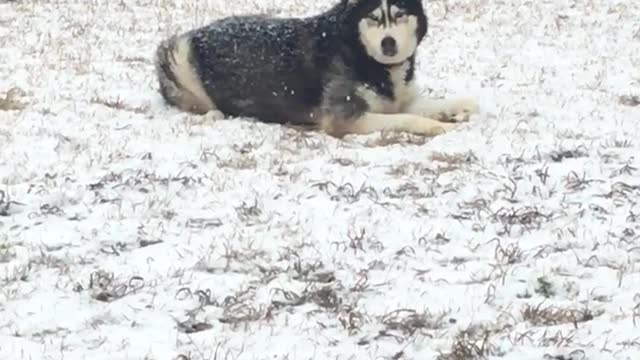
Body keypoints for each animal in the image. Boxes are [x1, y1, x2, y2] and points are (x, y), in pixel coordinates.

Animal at [155, 0, 478, 138]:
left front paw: (461, 107)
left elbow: (434, 104)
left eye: (399, 15)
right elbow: (407, 118)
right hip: (176, 51)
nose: (389, 44)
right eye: (374, 18)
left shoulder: (402, 99)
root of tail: (198, 30)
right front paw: (439, 125)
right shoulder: (344, 117)